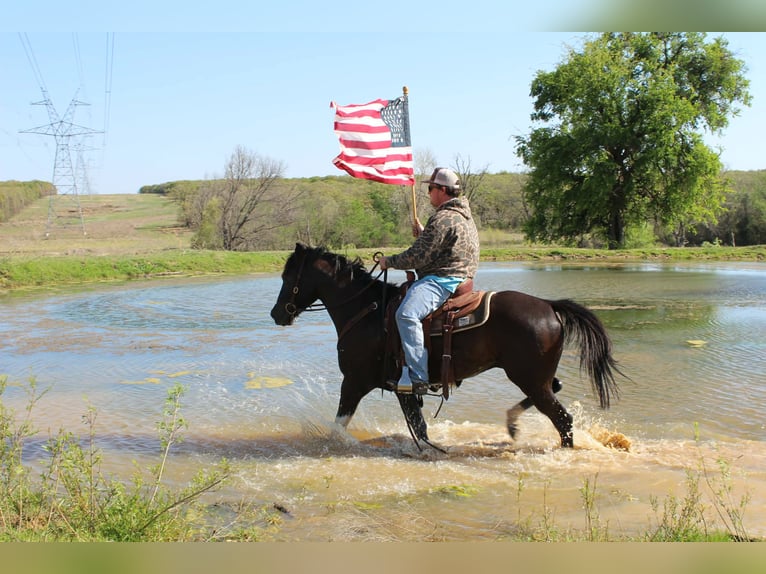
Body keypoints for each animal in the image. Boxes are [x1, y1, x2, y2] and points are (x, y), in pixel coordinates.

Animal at [270, 243, 624, 449]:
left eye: (288, 276)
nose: (276, 314)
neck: (366, 311)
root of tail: (549, 306)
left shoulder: (354, 382)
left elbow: (339, 427)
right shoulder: (403, 390)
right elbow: (420, 428)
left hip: (530, 379)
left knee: (563, 420)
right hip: (536, 379)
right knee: (554, 395)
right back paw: (511, 423)